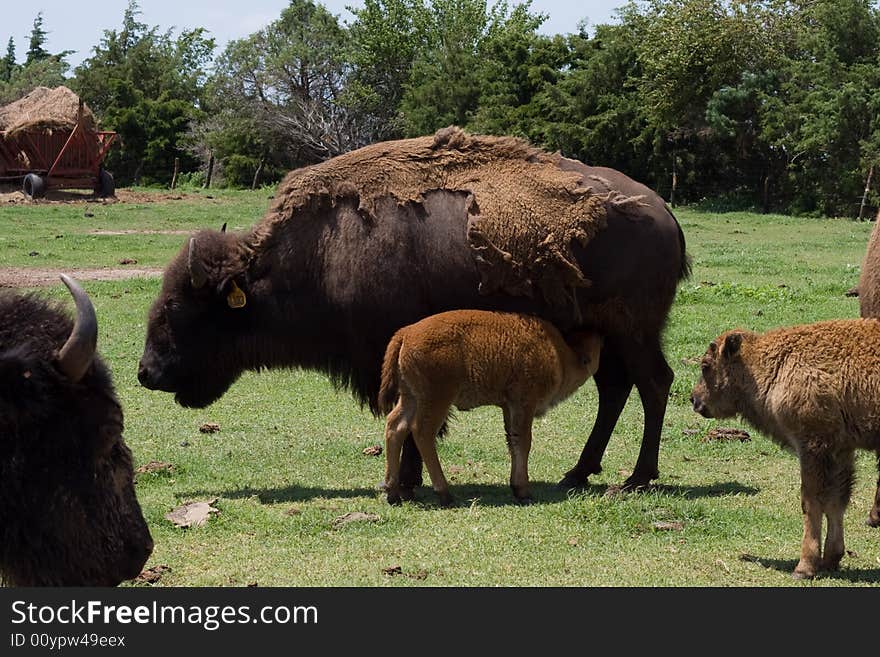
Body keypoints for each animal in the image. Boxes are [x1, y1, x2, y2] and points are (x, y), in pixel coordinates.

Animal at [374, 310, 600, 504]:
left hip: (411, 397)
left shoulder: (508, 407)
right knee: (422, 433)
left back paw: (392, 493)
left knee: (395, 426)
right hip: (437, 400)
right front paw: (524, 491)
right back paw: (444, 493)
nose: (598, 335)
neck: (559, 353)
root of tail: (406, 333)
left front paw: (516, 487)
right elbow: (523, 441)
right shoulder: (524, 403)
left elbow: (512, 441)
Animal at [692, 320, 880, 576]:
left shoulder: (812, 446)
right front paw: (830, 559)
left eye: (706, 366)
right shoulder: (841, 450)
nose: (694, 399)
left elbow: (811, 502)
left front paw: (804, 567)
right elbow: (836, 501)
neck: (774, 363)